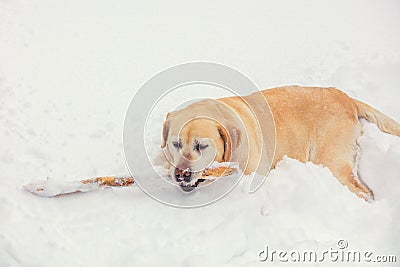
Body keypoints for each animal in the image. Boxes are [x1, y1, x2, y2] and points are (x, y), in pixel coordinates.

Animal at [160, 86, 400, 201]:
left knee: (363, 191)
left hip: (332, 161)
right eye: (175, 143)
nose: (181, 174)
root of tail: (346, 97)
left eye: (202, 146)